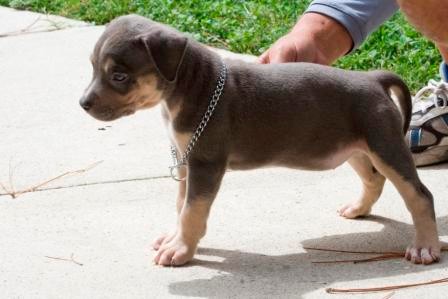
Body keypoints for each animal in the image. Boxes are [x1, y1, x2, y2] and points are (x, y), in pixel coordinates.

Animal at [80, 14, 440, 268]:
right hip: (355, 147)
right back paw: (357, 208)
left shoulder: (205, 163)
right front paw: (175, 238)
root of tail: (373, 79)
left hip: (384, 145)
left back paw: (425, 247)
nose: (82, 103)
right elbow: (181, 204)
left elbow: (192, 209)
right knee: (374, 179)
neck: (190, 84)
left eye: (119, 76)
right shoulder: (185, 161)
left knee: (419, 195)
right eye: (93, 67)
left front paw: (180, 250)